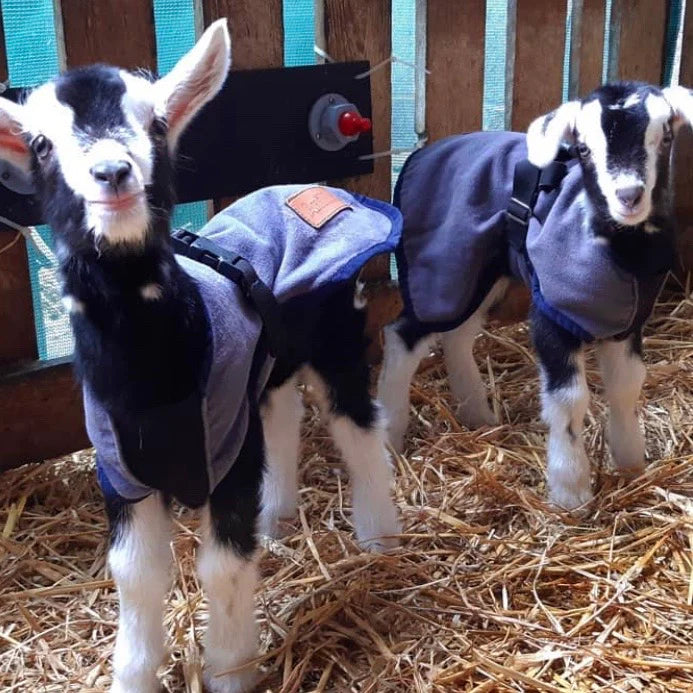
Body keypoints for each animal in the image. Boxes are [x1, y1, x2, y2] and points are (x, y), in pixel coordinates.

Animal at [0, 20, 401, 692]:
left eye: (158, 124)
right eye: (40, 144)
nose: (113, 173)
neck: (152, 380)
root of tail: (309, 187)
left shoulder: (227, 452)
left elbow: (222, 566)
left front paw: (231, 669)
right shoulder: (123, 473)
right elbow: (135, 574)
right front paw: (134, 675)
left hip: (336, 328)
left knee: (356, 420)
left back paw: (379, 533)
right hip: (267, 360)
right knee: (283, 411)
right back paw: (279, 513)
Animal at [378, 81, 693, 511]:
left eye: (665, 137)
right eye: (583, 149)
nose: (628, 195)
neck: (618, 254)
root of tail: (425, 153)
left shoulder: (627, 323)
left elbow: (628, 385)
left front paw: (631, 463)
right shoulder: (552, 314)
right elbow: (569, 401)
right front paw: (570, 490)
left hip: (478, 268)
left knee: (458, 336)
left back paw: (478, 414)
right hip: (441, 266)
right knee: (403, 335)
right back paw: (391, 433)